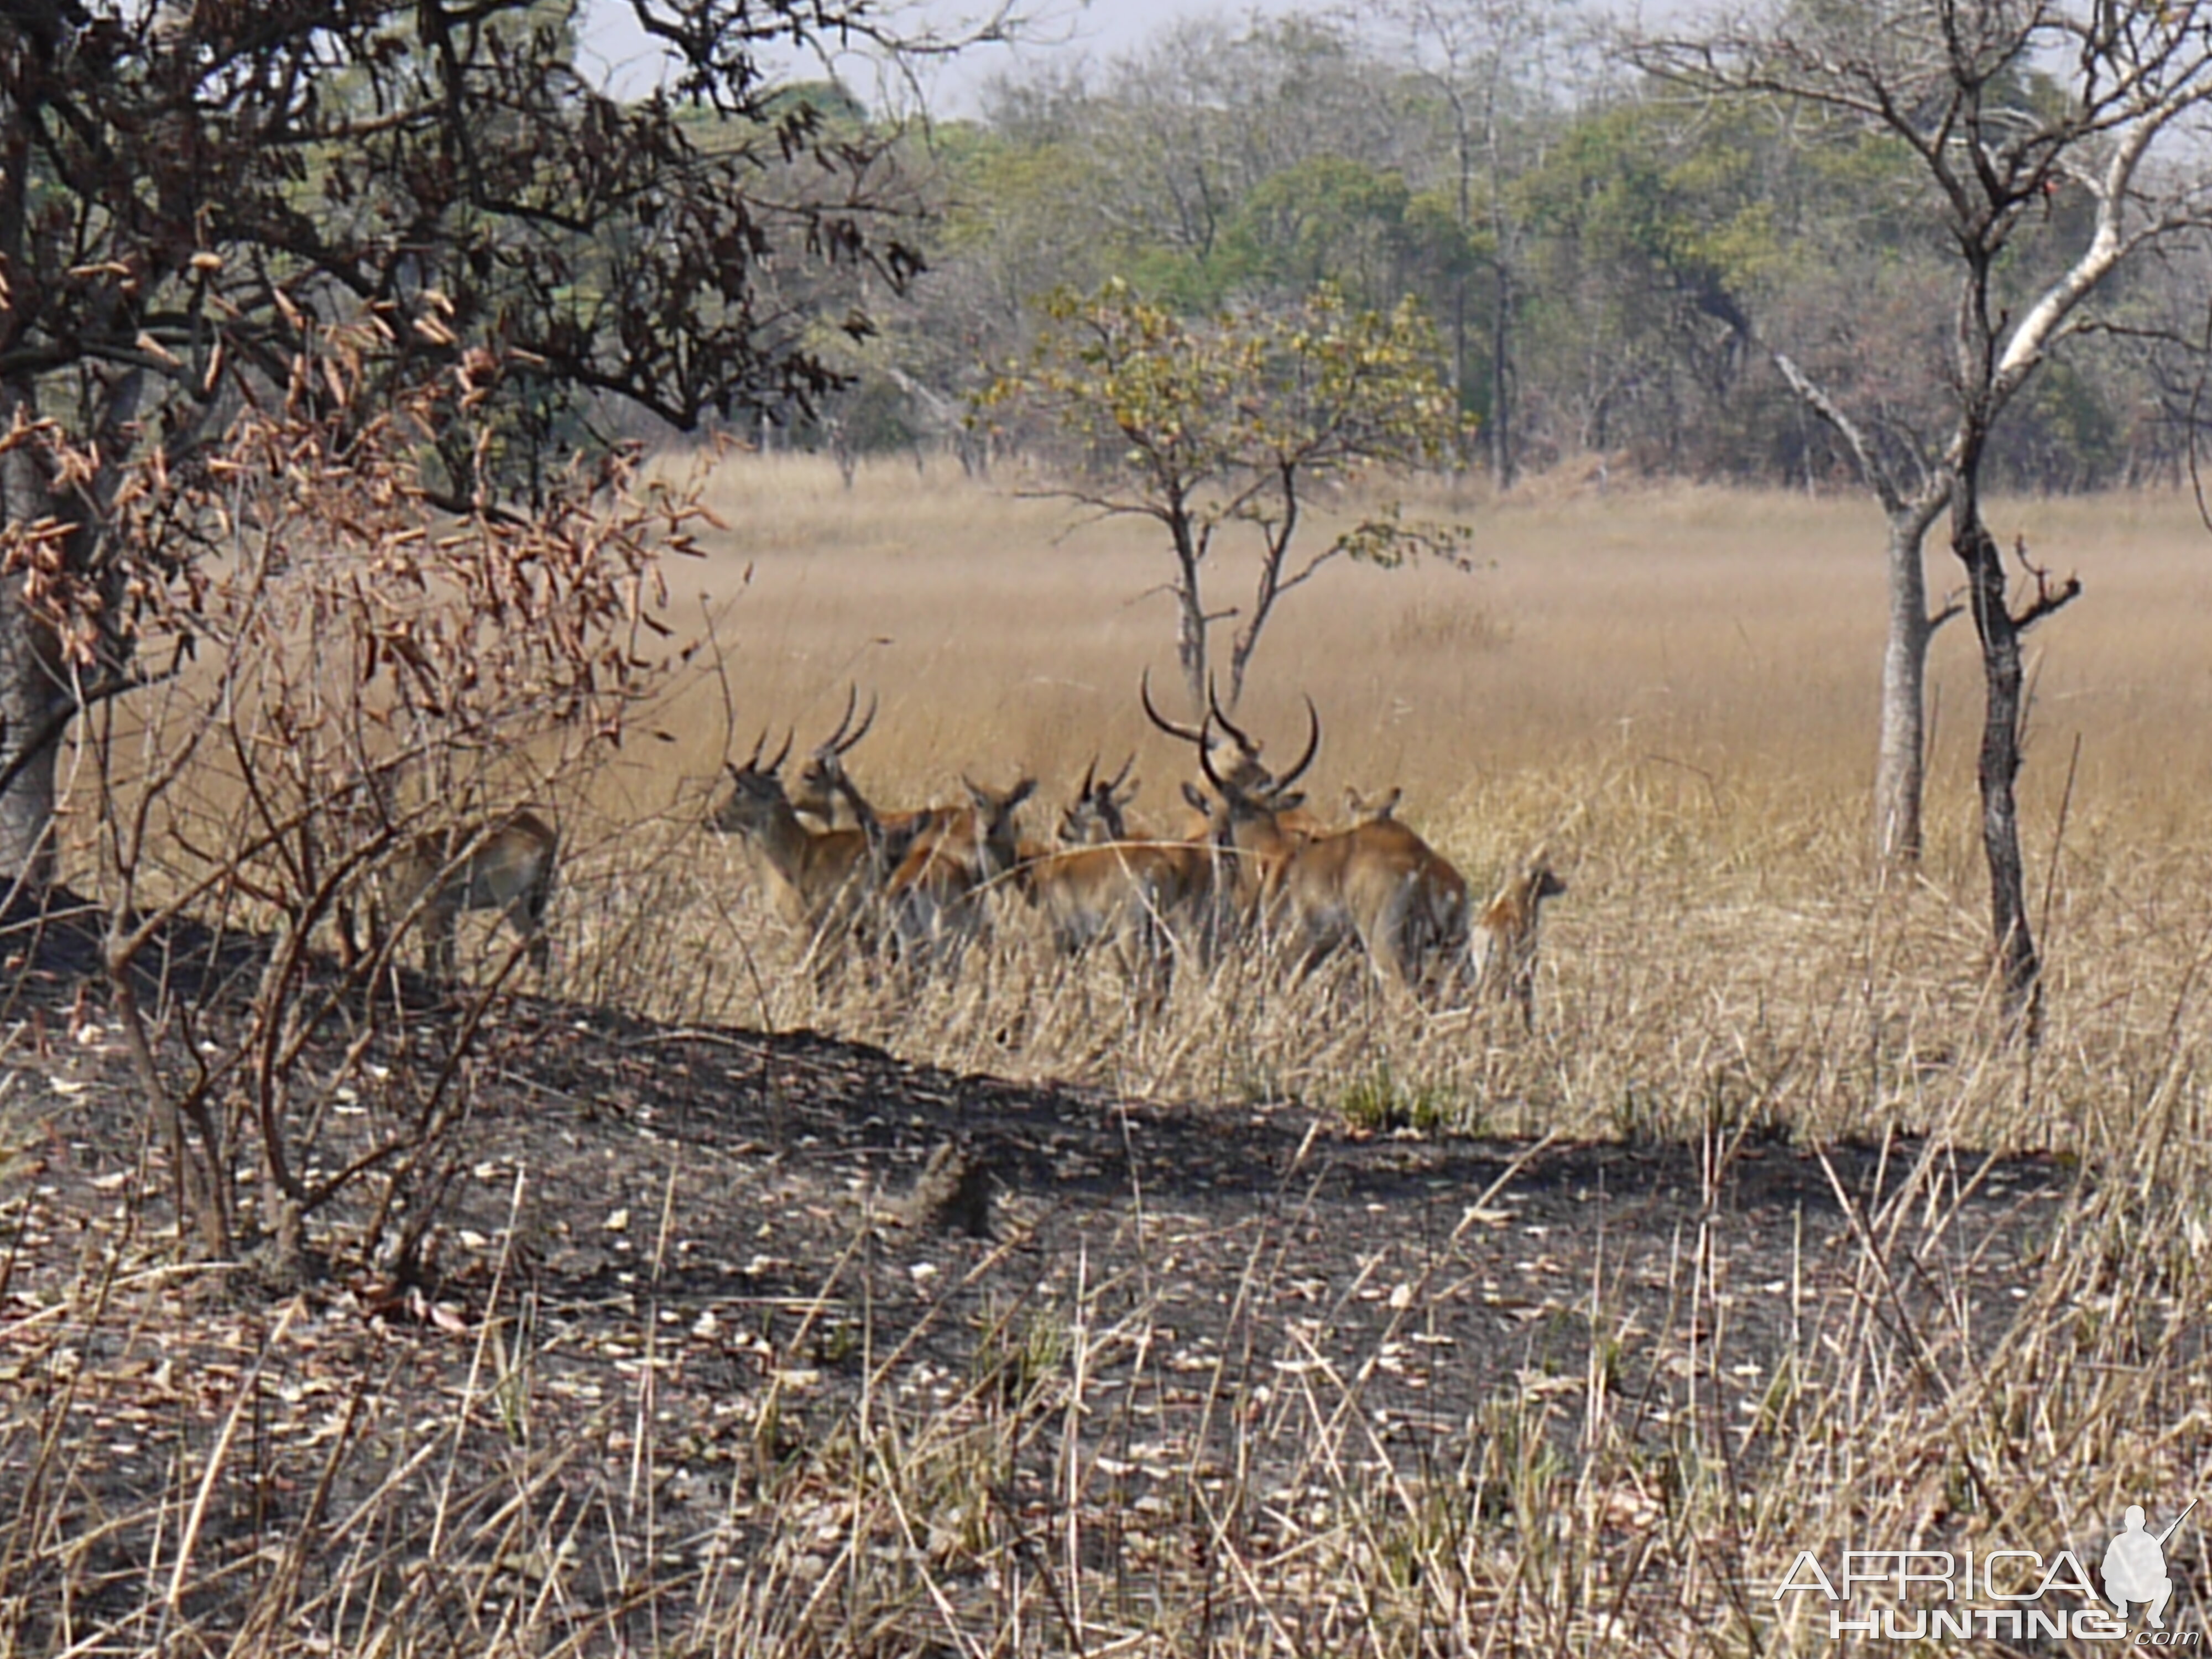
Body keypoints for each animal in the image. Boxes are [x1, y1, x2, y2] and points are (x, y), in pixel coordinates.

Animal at [374, 814, 562, 982]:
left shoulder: (431, 914)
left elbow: (431, 956)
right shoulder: (447, 914)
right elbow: (447, 953)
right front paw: (451, 984)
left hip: (511, 898)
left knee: (536, 943)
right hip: (537, 901)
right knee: (543, 943)